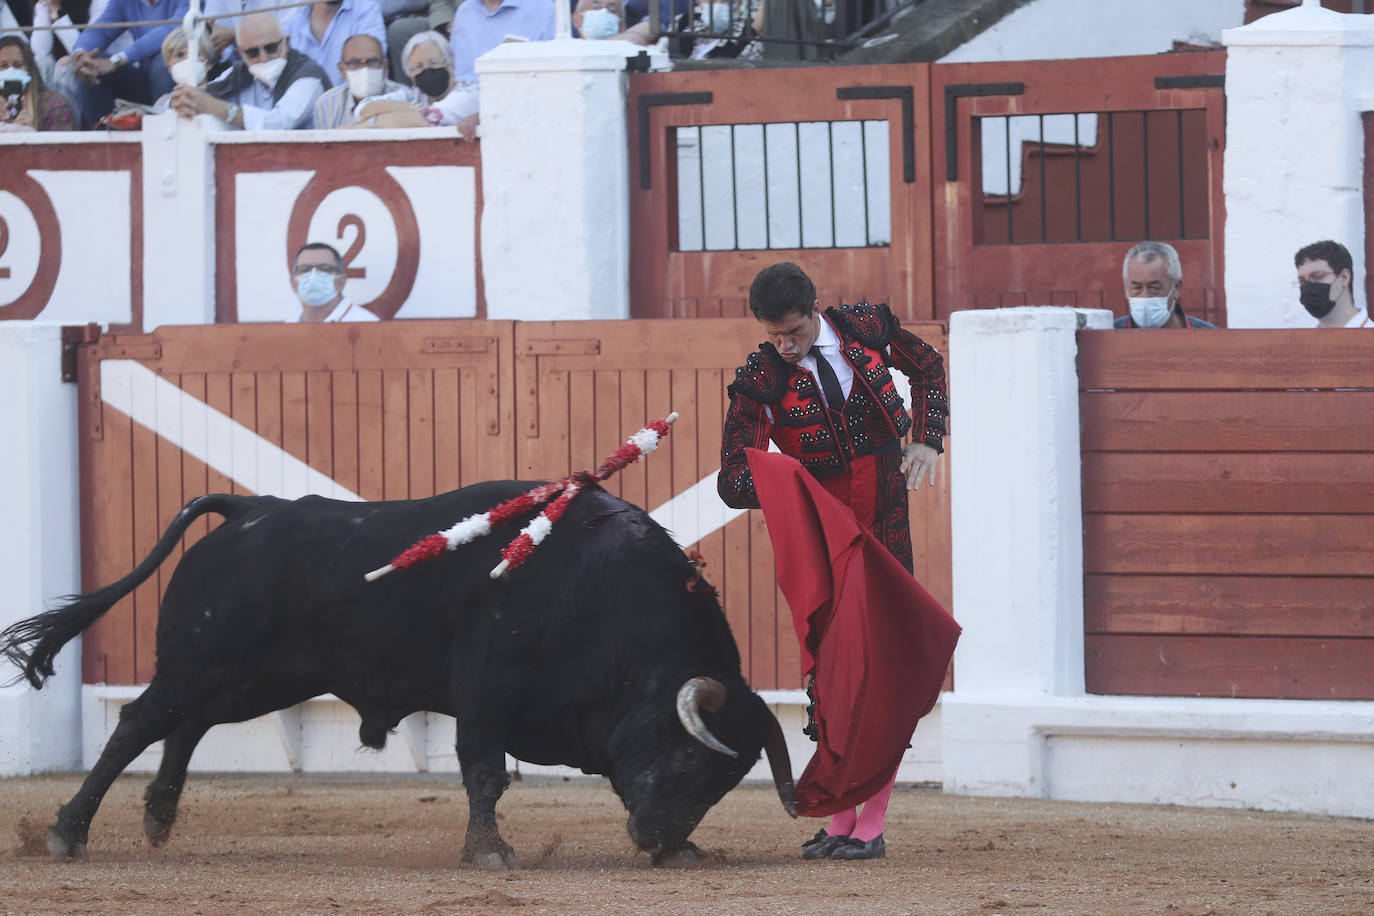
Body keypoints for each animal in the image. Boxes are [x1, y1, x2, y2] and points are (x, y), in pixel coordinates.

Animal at [0, 483, 802, 873]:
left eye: (721, 782)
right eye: (689, 758)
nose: (659, 839)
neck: (599, 593)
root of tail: (249, 510)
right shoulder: (484, 695)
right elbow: (484, 773)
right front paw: (489, 852)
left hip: (256, 679)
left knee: (188, 724)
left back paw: (159, 817)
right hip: (201, 663)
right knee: (139, 723)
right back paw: (68, 832)